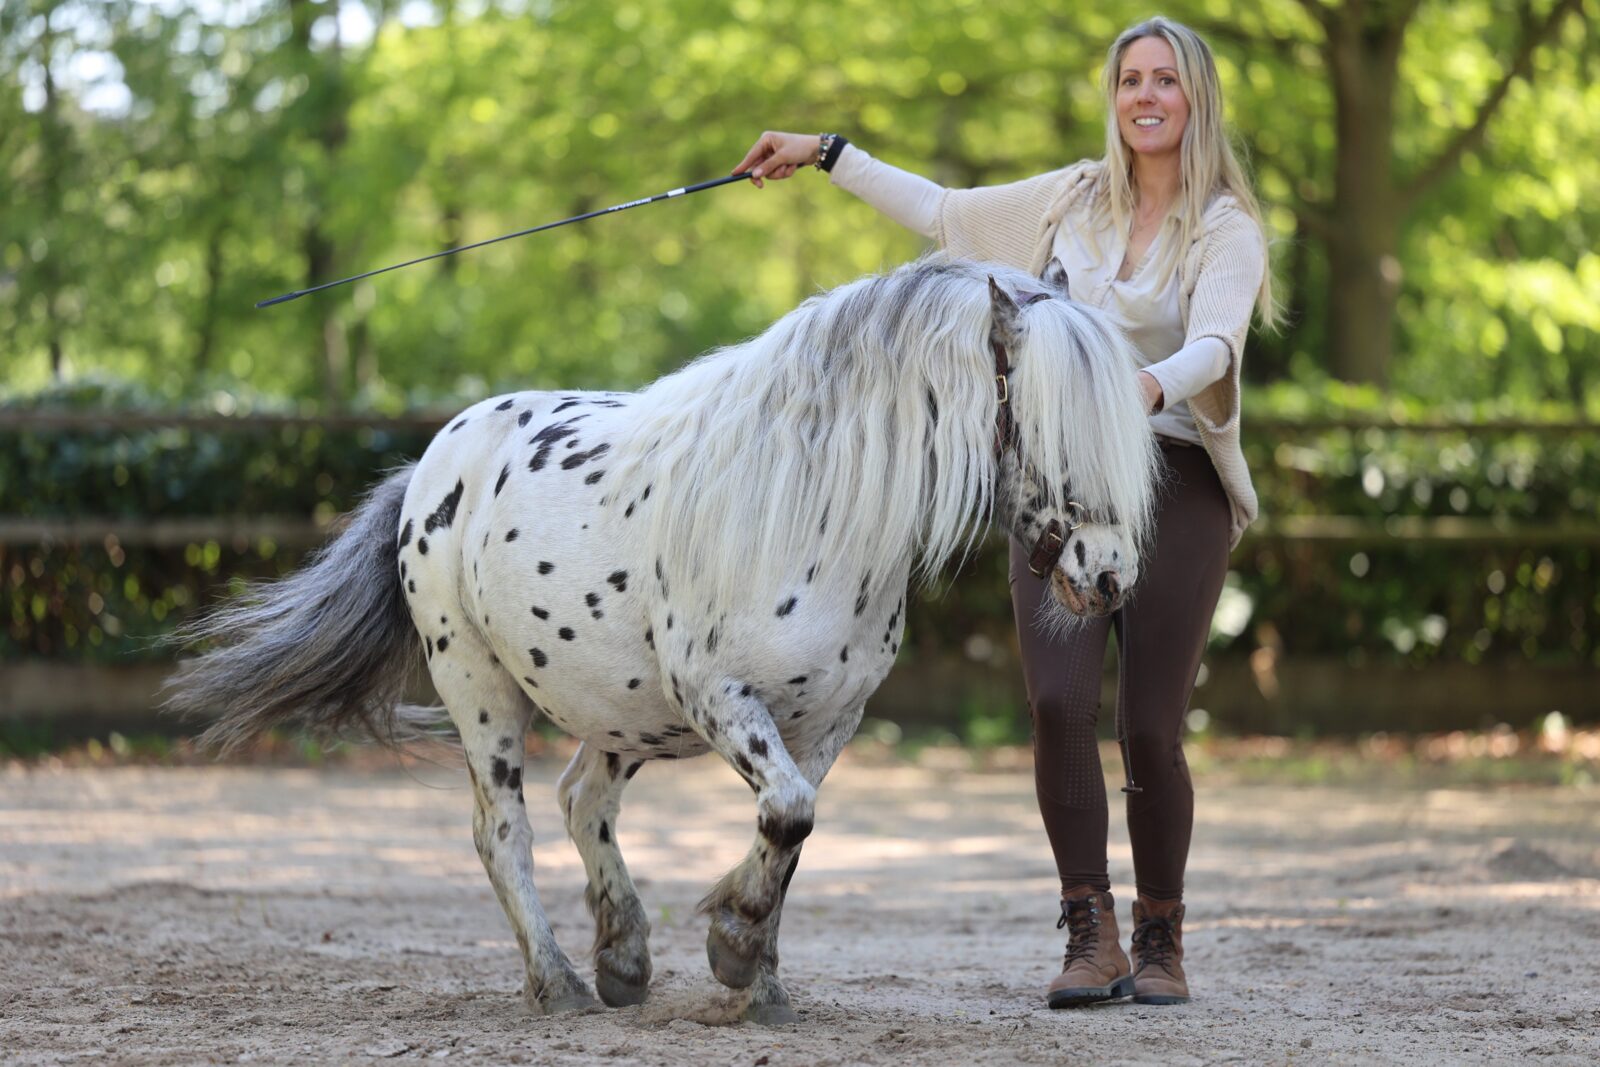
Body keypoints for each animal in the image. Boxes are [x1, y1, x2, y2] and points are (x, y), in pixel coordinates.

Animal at [165, 253, 1161, 1024]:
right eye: (1049, 422)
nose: (1111, 575)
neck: (806, 505)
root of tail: (435, 460)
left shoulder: (828, 722)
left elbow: (794, 830)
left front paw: (757, 979)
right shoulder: (721, 696)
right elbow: (787, 813)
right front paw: (732, 947)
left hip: (620, 710)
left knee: (583, 802)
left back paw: (623, 959)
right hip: (480, 688)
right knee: (505, 830)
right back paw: (560, 983)